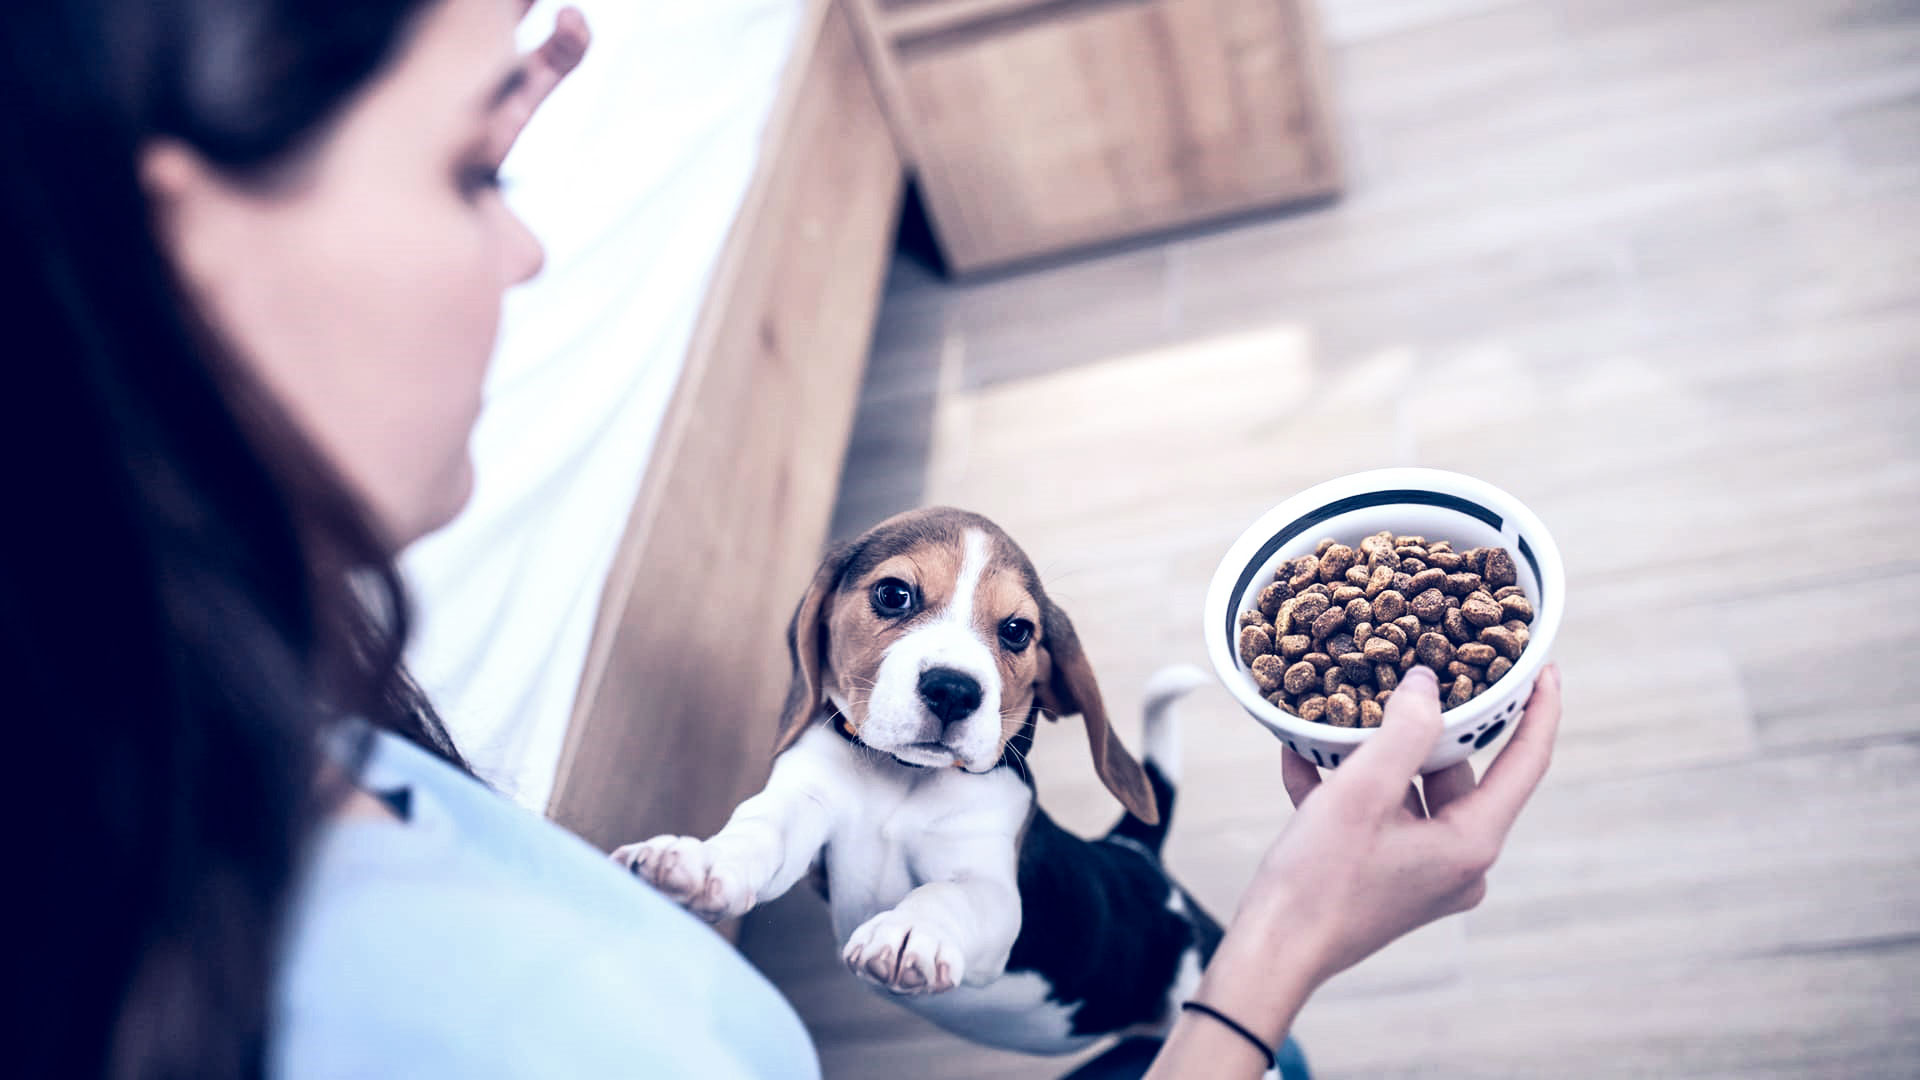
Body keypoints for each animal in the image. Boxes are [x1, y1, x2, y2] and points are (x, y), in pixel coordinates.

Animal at [614, 507, 1221, 1053]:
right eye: (893, 594)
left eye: (1017, 630)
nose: (954, 689)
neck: (900, 780)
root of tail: (1136, 851)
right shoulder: (804, 803)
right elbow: (759, 830)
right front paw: (702, 862)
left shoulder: (994, 890)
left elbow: (946, 893)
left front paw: (909, 935)